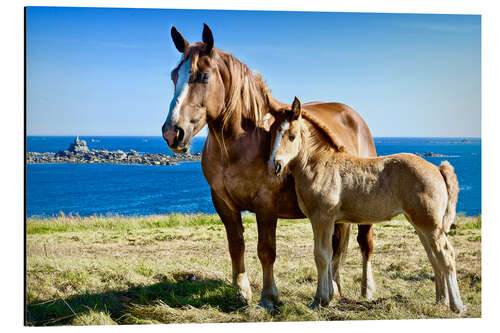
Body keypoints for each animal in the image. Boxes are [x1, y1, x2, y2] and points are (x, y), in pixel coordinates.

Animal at [162, 24, 376, 312]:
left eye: (204, 77)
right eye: (174, 76)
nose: (172, 132)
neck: (242, 142)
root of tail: (354, 117)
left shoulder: (265, 205)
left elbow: (266, 250)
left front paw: (269, 297)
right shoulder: (223, 203)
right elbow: (236, 245)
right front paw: (241, 292)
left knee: (365, 244)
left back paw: (367, 290)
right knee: (336, 246)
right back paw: (334, 289)